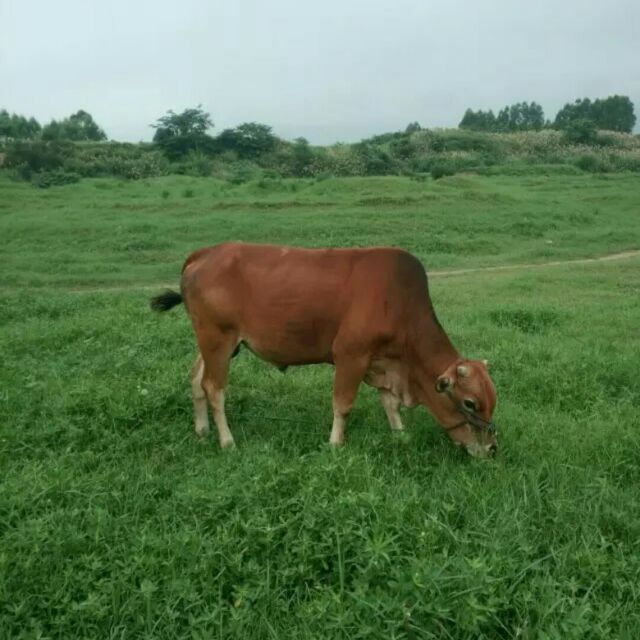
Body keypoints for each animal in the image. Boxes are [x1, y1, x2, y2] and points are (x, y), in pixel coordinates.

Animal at [151, 242, 498, 457]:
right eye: (470, 403)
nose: (492, 448)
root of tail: (205, 253)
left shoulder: (382, 362)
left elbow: (390, 404)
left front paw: (400, 436)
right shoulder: (350, 356)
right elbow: (343, 405)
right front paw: (334, 444)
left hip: (216, 344)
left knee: (196, 379)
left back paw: (202, 431)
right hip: (218, 339)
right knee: (214, 388)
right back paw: (226, 440)